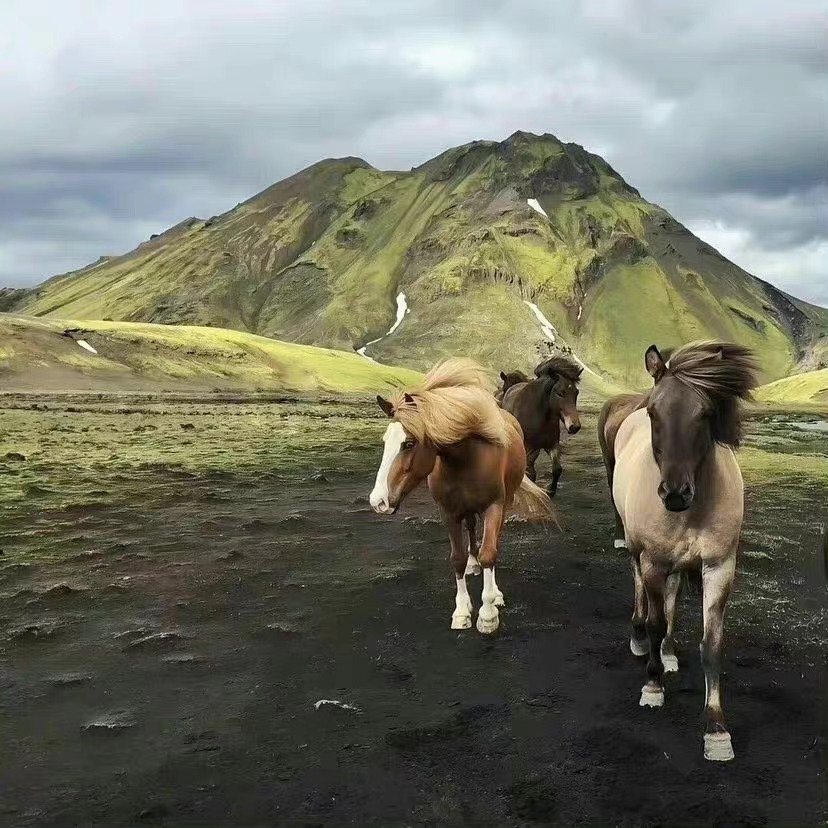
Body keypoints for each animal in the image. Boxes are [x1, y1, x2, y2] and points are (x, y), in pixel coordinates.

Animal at [498, 354, 584, 494]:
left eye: (576, 392)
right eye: (560, 393)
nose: (574, 426)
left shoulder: (551, 444)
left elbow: (557, 469)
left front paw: (550, 491)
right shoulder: (527, 447)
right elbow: (528, 471)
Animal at [600, 340, 760, 760]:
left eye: (705, 412)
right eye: (655, 411)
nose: (674, 494)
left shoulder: (719, 567)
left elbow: (712, 644)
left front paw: (716, 728)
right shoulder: (654, 561)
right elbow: (656, 621)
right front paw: (653, 686)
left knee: (670, 598)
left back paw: (670, 652)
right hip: (639, 554)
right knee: (641, 590)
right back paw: (642, 640)